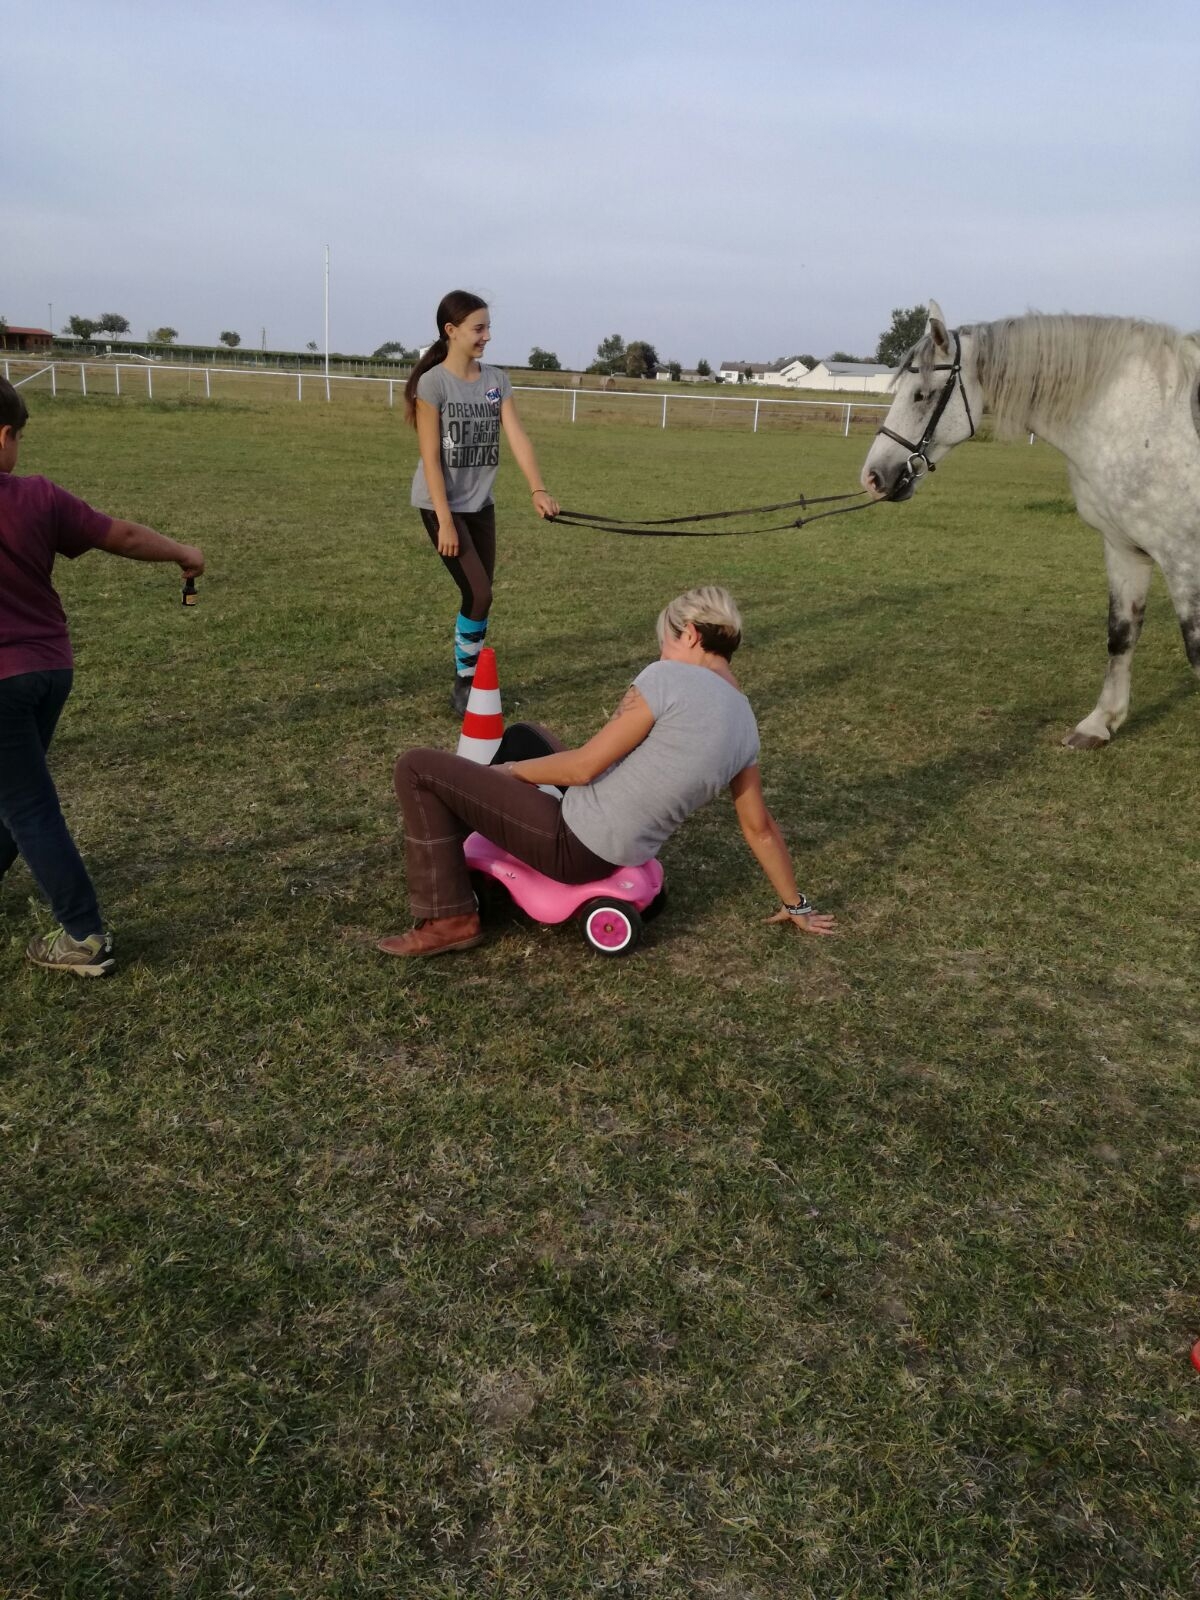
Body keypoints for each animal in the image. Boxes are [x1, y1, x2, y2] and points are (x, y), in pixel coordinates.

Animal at [857, 302, 1200, 745]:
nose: (873, 477)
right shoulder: (1125, 548)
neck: (1146, 421)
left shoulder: (1182, 557)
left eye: (922, 395)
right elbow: (1121, 633)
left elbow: (1195, 649)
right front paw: (1099, 723)